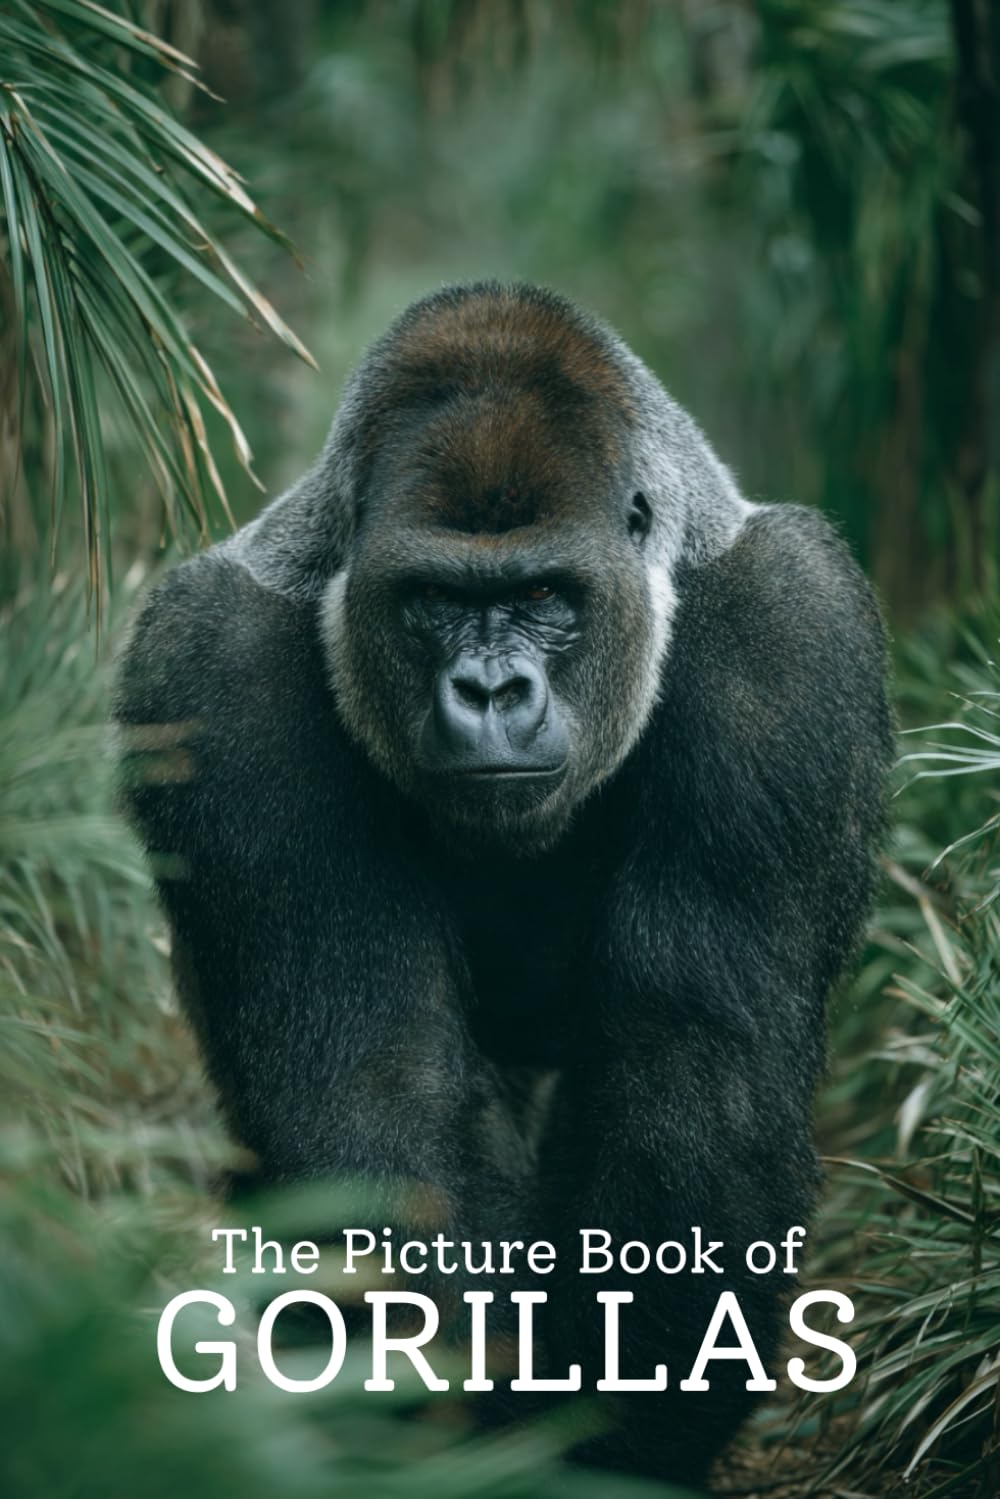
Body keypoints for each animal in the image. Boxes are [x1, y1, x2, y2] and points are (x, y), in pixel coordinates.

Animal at [114, 281, 892, 1486]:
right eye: (435, 597)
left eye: (541, 592)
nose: (489, 688)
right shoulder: (209, 669)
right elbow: (373, 1095)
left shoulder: (792, 635)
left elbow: (697, 1081)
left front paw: (612, 1440)